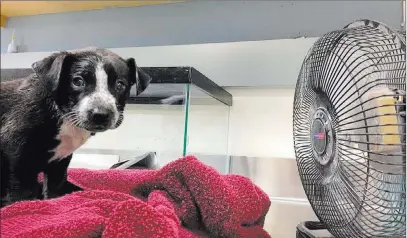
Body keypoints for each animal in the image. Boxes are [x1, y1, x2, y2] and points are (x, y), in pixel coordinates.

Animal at [0, 47, 151, 207]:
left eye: (120, 85)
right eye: (78, 81)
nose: (101, 115)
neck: (64, 114)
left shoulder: (59, 162)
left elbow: (54, 190)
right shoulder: (17, 153)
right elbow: (22, 193)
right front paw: (23, 206)